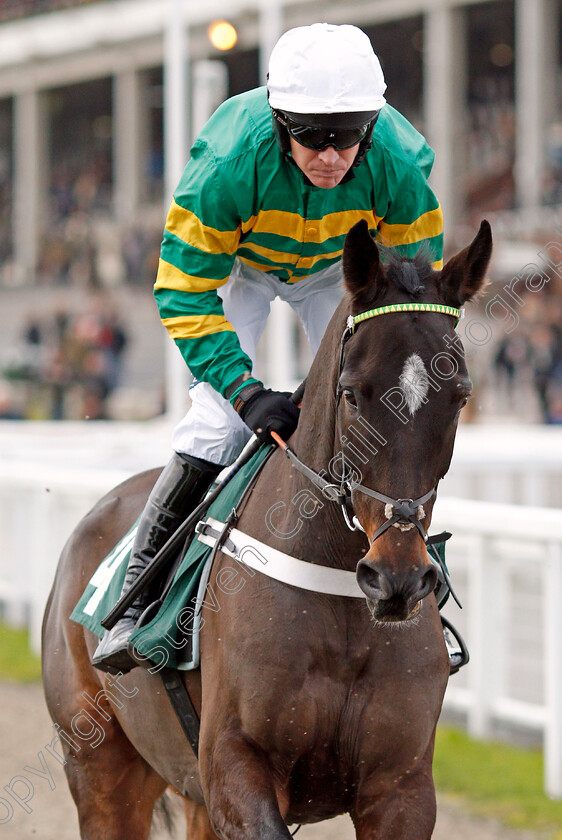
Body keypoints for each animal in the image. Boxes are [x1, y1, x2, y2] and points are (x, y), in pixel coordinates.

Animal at [43, 221, 490, 840]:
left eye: (459, 397)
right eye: (351, 393)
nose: (396, 578)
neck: (338, 595)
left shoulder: (402, 787)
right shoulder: (235, 767)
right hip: (101, 766)